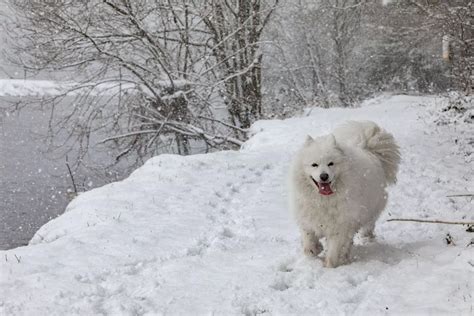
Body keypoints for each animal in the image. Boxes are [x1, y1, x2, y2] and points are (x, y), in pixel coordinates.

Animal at [288, 120, 400, 266]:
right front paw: (314, 249)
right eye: (314, 165)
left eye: (331, 164)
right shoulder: (307, 217)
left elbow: (334, 250)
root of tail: (367, 149)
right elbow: (308, 240)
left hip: (370, 211)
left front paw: (330, 264)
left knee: (366, 227)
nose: (324, 176)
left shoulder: (340, 225)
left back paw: (362, 242)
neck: (323, 200)